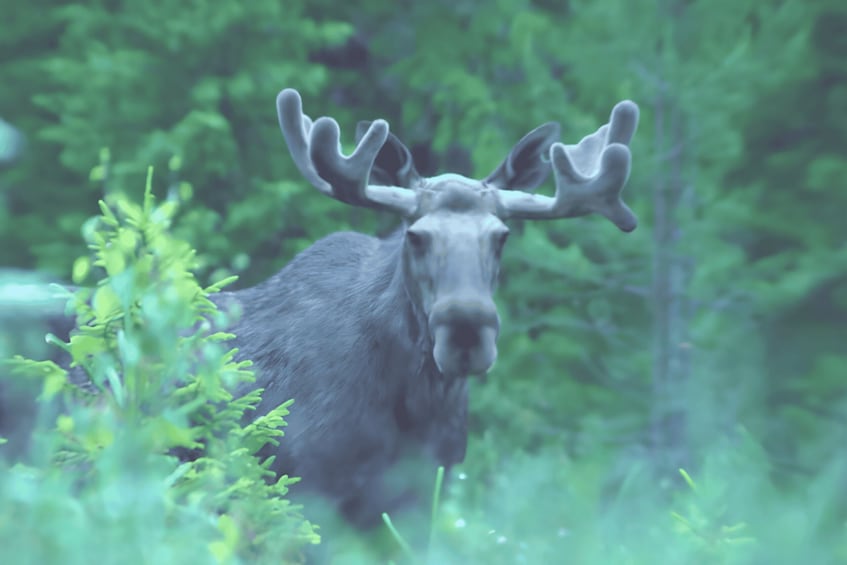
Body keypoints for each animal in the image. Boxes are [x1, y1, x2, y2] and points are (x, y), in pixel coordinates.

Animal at [210, 89, 640, 534]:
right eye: (416, 236)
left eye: (501, 236)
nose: (466, 330)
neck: (415, 406)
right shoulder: (310, 489)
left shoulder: (423, 494)